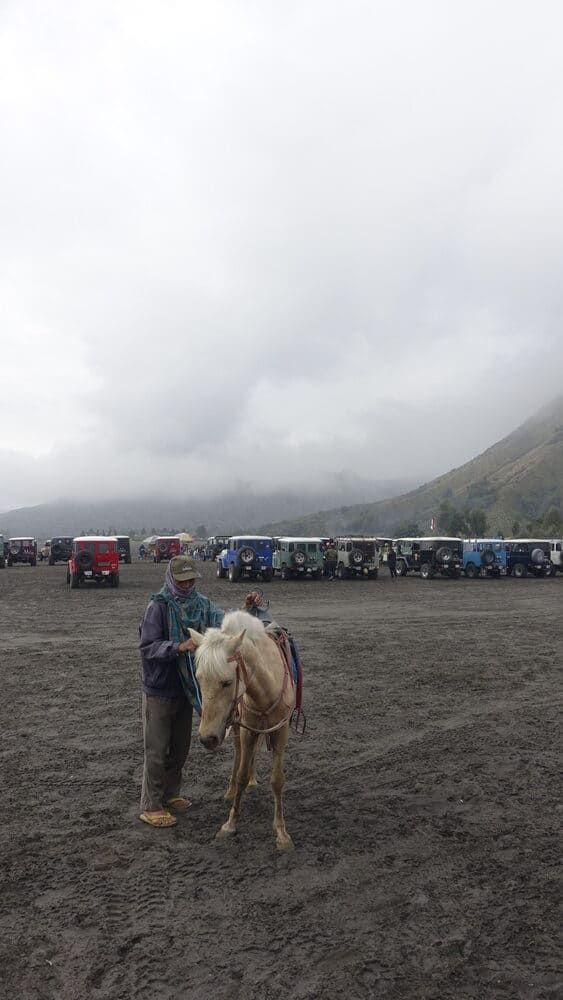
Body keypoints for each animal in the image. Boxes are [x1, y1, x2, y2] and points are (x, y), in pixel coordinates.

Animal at [189, 608, 298, 852]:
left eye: (227, 682)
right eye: (199, 678)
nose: (207, 738)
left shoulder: (281, 732)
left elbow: (277, 780)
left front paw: (282, 833)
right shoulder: (248, 730)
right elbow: (240, 774)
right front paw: (230, 824)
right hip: (239, 728)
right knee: (240, 755)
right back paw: (233, 789)